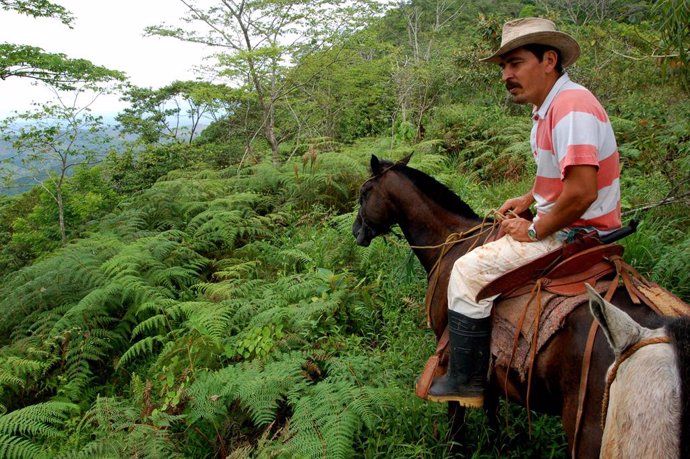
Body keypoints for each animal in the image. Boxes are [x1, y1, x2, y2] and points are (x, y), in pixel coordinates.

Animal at [352, 156, 660, 458]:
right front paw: (498, 446)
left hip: (589, 435)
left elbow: (456, 419)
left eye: (365, 193)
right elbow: (491, 410)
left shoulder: (447, 356)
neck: (454, 241)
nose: (356, 232)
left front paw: (457, 449)